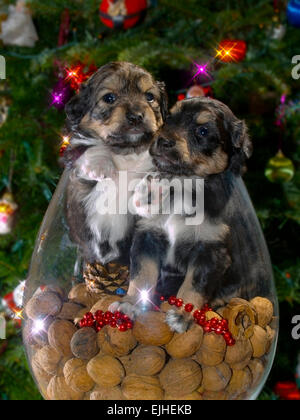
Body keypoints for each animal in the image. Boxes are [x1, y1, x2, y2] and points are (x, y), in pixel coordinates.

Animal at [64, 61, 168, 266]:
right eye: (109, 98)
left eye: (149, 96)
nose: (136, 116)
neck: (127, 152)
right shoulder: (73, 153)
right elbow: (89, 147)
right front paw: (100, 166)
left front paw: (151, 191)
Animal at [110, 98, 272, 332]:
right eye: (168, 118)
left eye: (203, 131)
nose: (163, 141)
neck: (183, 184)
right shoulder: (148, 235)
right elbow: (142, 275)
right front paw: (130, 304)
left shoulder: (211, 250)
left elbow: (193, 285)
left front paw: (181, 315)